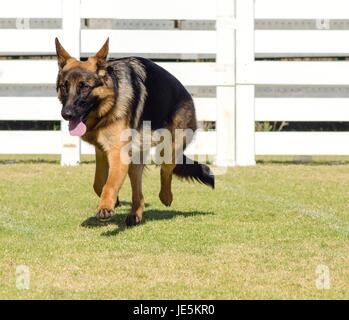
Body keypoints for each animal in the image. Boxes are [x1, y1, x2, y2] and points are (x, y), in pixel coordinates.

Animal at [55, 38, 212, 226]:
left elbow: (109, 183)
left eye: (84, 87)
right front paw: (113, 201)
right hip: (135, 160)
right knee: (139, 192)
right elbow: (98, 183)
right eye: (64, 87)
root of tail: (188, 95)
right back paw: (135, 214)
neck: (110, 104)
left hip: (168, 150)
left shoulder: (117, 153)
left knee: (165, 170)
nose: (66, 114)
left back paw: (166, 197)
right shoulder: (102, 151)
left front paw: (105, 206)